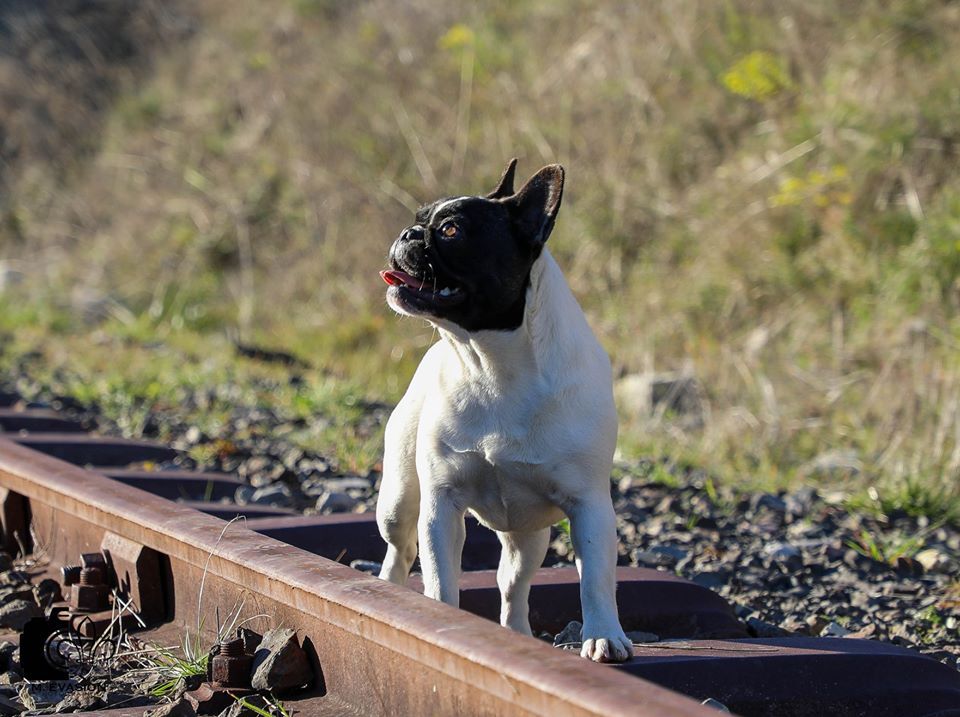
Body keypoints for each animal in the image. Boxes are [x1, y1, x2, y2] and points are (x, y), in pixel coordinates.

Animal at [378, 159, 632, 664]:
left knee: (513, 584)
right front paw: (439, 620)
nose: (407, 232)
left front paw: (603, 637)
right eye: (419, 217)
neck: (491, 363)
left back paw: (516, 637)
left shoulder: (589, 506)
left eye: (451, 230)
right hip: (398, 500)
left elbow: (596, 579)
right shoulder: (441, 503)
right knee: (401, 549)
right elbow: (440, 574)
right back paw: (387, 589)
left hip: (529, 536)